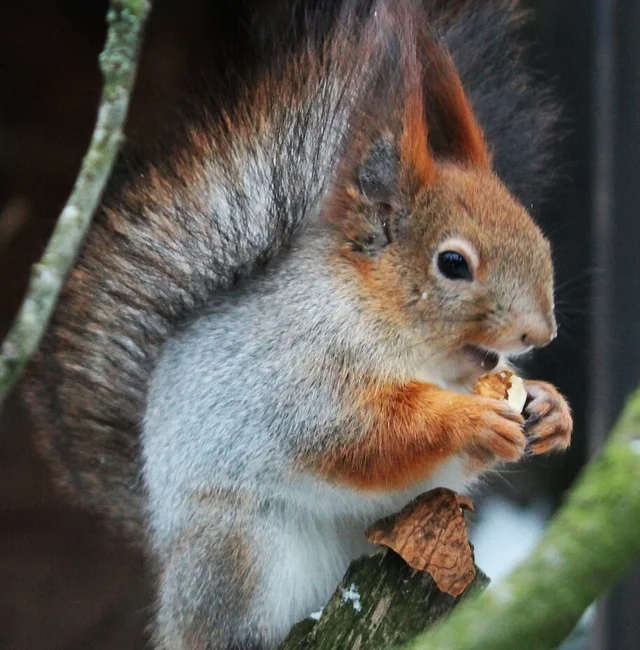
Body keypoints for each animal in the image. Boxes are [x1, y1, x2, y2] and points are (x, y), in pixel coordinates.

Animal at [23, 1, 573, 648]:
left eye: (533, 231)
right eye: (453, 263)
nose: (540, 333)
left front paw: (549, 409)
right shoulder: (296, 368)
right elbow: (359, 432)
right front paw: (469, 421)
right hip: (239, 552)